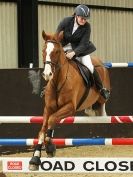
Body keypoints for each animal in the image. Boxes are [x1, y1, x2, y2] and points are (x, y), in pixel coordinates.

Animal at [28, 30, 110, 170]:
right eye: (44, 50)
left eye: (56, 52)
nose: (47, 74)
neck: (58, 81)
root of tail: (100, 62)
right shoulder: (48, 108)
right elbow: (43, 129)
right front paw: (35, 158)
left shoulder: (70, 107)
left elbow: (52, 119)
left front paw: (50, 148)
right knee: (89, 110)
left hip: (101, 97)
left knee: (102, 106)